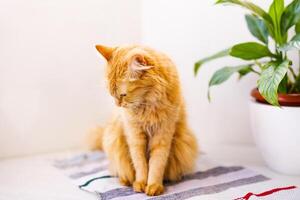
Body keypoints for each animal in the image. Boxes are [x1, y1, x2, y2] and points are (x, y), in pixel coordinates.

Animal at [91, 44, 199, 196]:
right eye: (111, 94)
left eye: (123, 95)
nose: (117, 105)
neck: (147, 105)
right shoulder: (135, 136)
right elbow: (140, 164)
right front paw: (141, 183)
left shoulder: (163, 135)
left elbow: (157, 164)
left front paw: (154, 186)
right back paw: (125, 180)